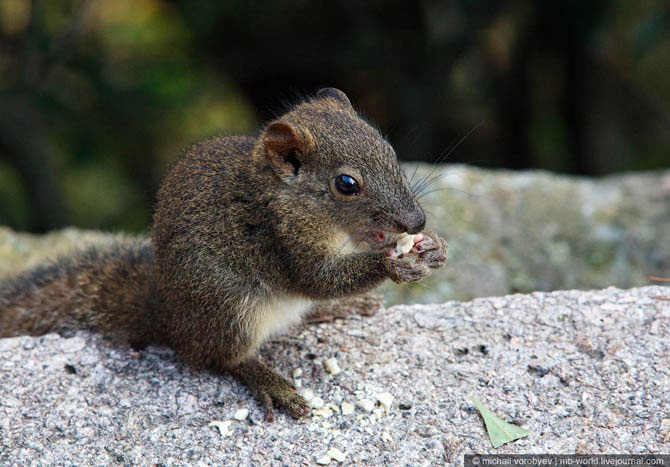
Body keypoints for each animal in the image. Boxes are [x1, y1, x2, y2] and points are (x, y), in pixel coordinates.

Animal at [0, 88, 447, 420]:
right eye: (347, 184)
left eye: (390, 152)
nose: (416, 220)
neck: (285, 197)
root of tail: (172, 320)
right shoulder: (282, 241)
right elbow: (319, 279)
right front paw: (394, 262)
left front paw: (430, 249)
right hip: (229, 309)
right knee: (221, 358)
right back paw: (270, 381)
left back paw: (337, 310)